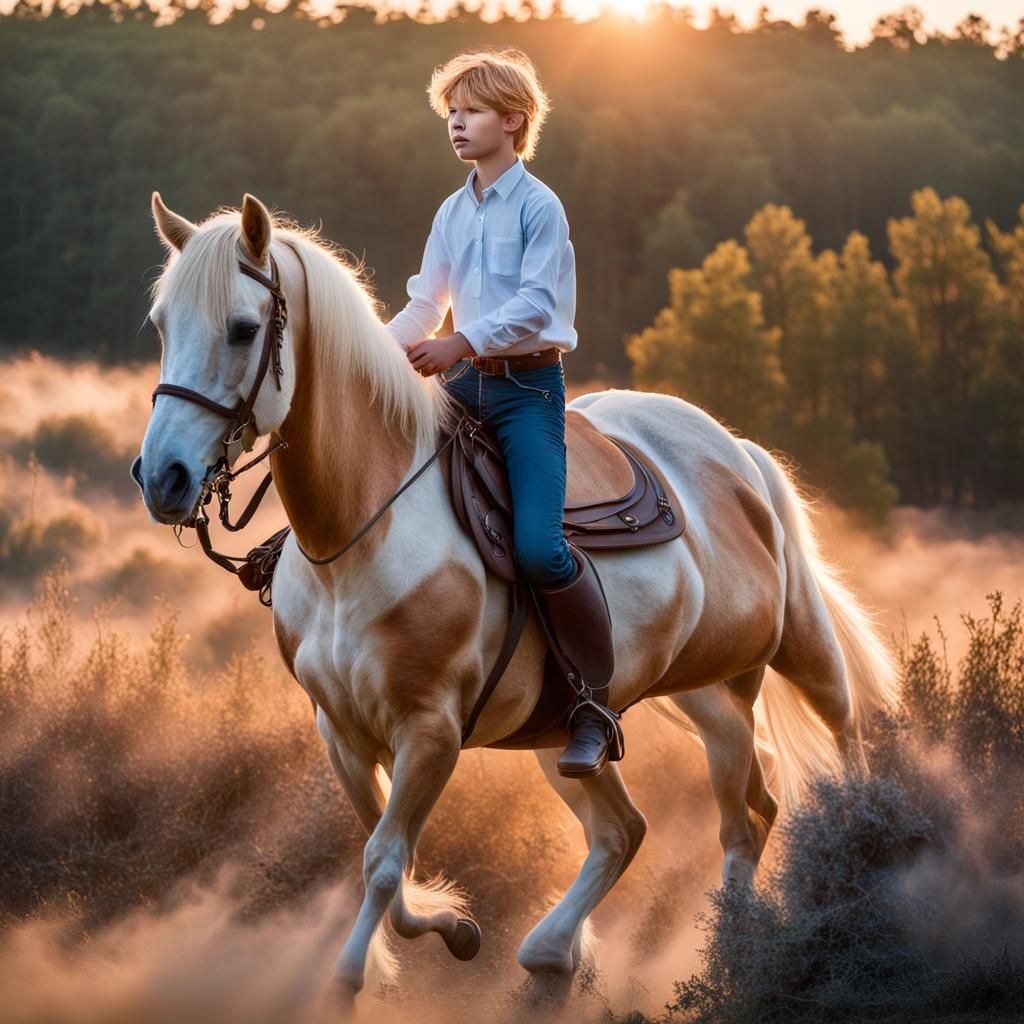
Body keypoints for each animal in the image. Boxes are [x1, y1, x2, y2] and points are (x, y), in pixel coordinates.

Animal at [133, 191, 899, 1006]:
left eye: (244, 329)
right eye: (162, 324)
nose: (163, 477)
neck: (364, 529)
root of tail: (736, 452)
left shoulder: (430, 732)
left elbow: (383, 863)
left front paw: (348, 977)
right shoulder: (340, 731)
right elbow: (386, 859)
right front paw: (456, 930)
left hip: (795, 646)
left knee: (839, 738)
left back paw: (849, 864)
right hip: (663, 708)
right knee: (663, 825)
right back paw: (570, 949)